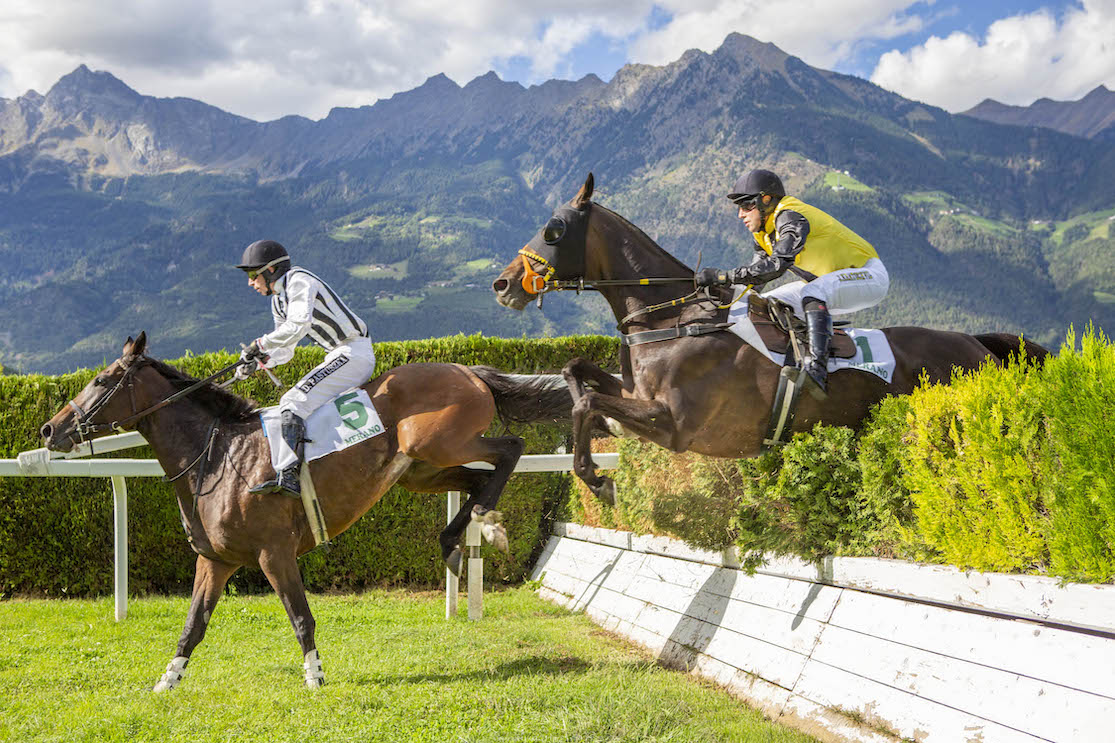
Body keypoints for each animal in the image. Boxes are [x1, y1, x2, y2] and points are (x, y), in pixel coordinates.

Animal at [39, 330, 570, 687]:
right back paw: (463, 537)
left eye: (101, 380)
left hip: (438, 441)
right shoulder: (216, 559)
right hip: (419, 469)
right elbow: (193, 624)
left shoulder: (274, 554)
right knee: (479, 478)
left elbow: (300, 616)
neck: (217, 456)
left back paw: (482, 528)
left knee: (511, 447)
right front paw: (168, 679)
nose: (49, 429)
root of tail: (468, 370)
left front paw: (314, 677)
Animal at [492, 170, 1048, 499]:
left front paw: (597, 478)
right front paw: (590, 460)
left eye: (554, 230)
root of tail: (977, 342)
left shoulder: (674, 425)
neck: (671, 317)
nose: (503, 284)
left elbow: (588, 404)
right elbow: (577, 375)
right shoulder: (634, 395)